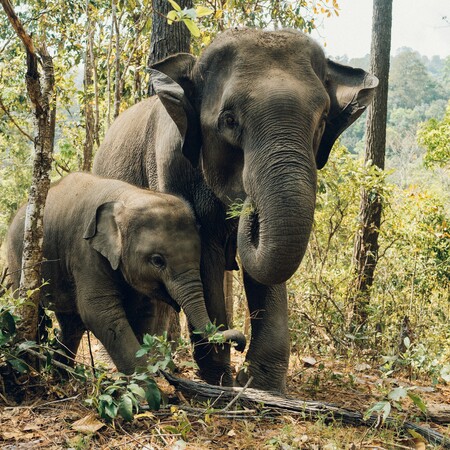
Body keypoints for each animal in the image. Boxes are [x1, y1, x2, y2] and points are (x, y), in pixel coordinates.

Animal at [7, 172, 246, 372]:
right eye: (157, 261)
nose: (240, 344)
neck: (127, 197)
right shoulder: (86, 252)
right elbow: (100, 313)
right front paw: (148, 392)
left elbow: (143, 312)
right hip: (17, 260)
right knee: (34, 311)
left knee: (71, 324)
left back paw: (62, 375)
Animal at [93, 29, 378, 394]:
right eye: (228, 121)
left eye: (322, 122)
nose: (247, 205)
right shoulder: (171, 167)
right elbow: (204, 256)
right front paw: (221, 380)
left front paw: (262, 385)